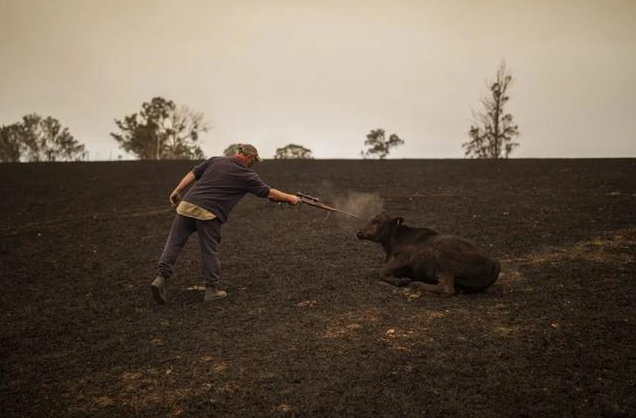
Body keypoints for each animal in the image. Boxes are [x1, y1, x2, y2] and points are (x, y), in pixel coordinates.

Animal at [356, 212, 500, 298]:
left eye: (378, 222)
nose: (360, 232)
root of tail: (494, 262)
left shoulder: (402, 260)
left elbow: (381, 273)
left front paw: (402, 281)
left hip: (445, 262)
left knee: (447, 288)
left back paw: (416, 284)